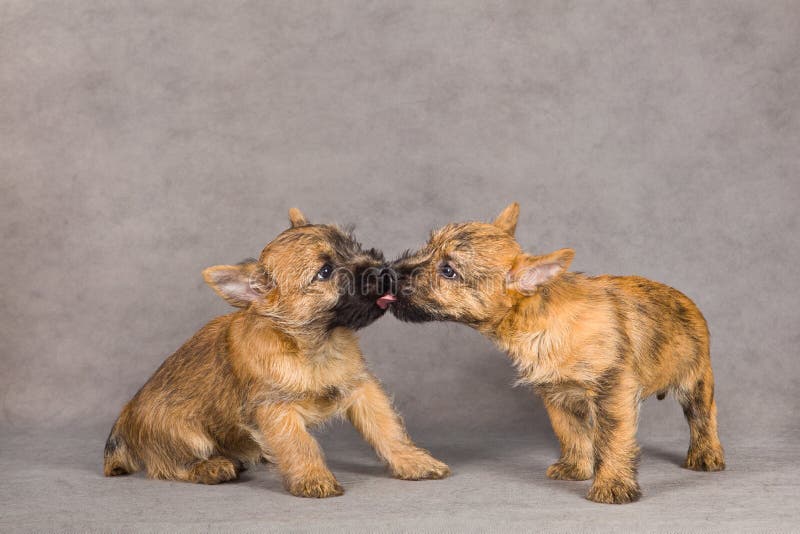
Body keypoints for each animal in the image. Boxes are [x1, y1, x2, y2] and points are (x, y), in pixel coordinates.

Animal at [388, 204, 724, 506]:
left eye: (448, 271)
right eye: (428, 246)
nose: (388, 273)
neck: (536, 318)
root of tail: (686, 300)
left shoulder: (612, 391)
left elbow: (612, 439)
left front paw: (612, 485)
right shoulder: (557, 395)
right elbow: (570, 432)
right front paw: (576, 468)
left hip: (695, 379)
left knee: (703, 416)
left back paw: (706, 455)